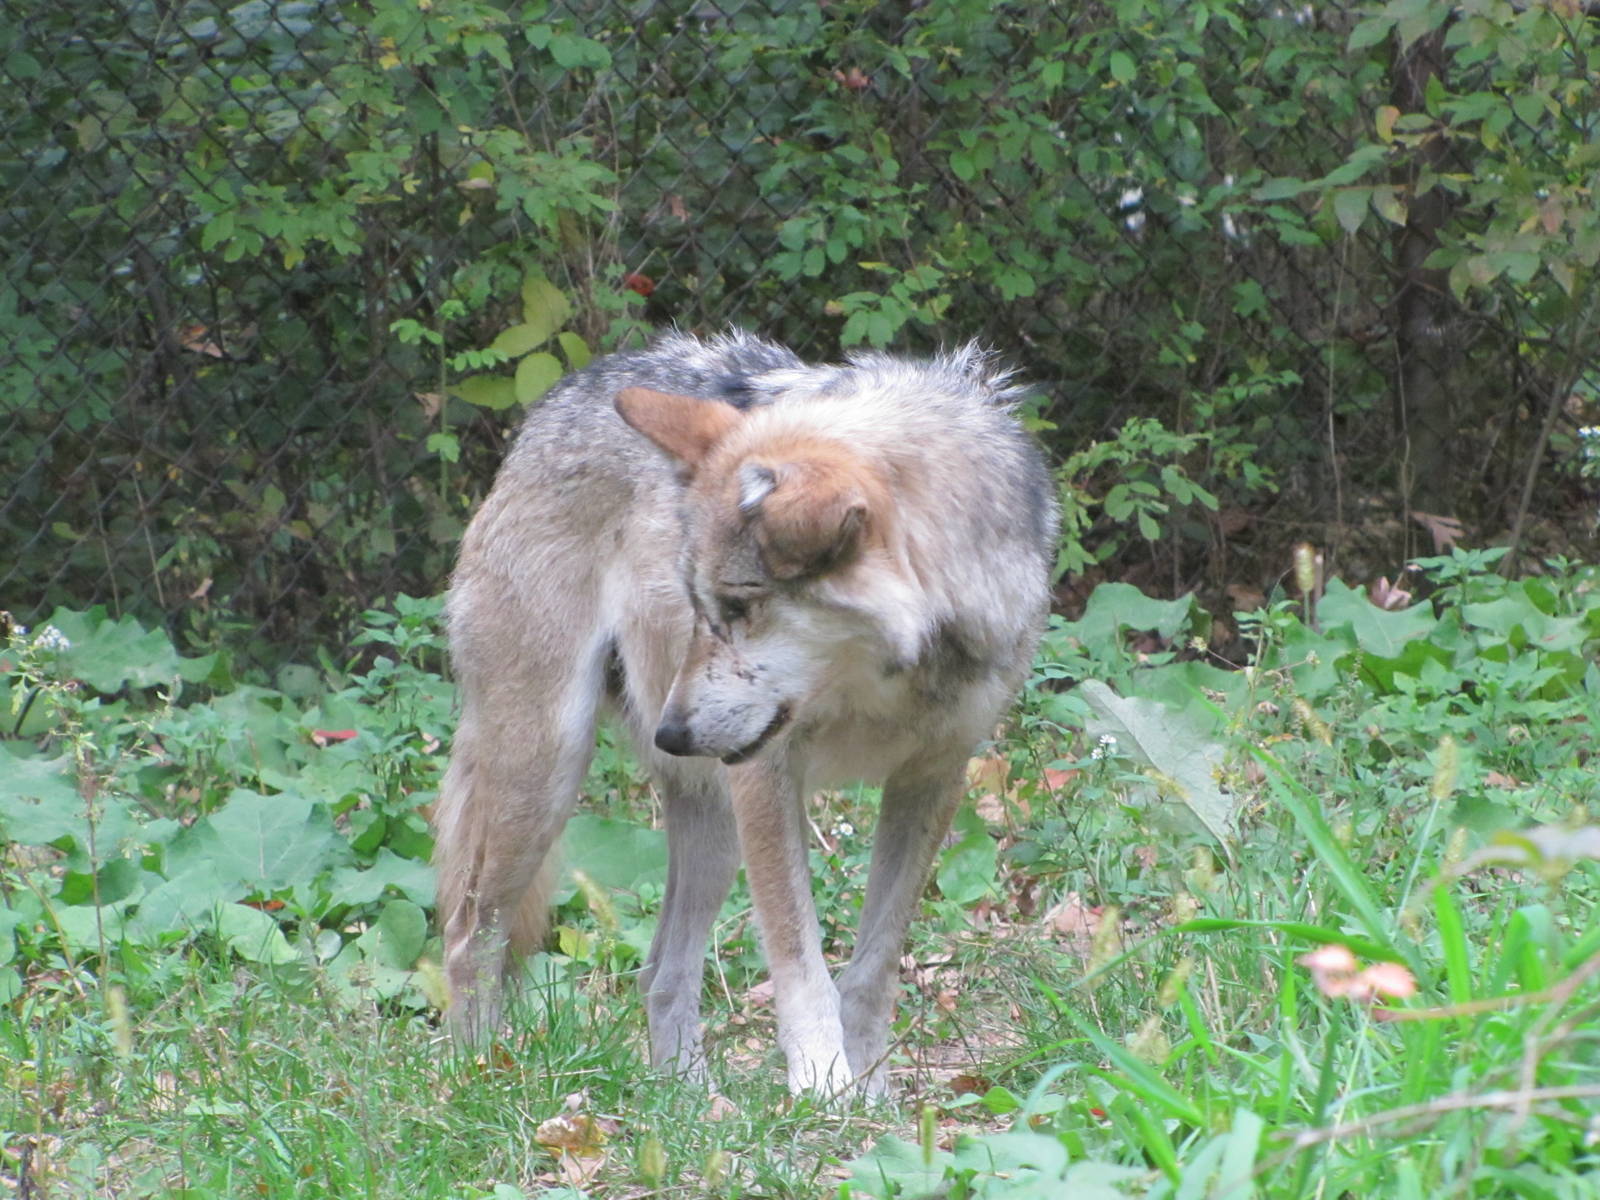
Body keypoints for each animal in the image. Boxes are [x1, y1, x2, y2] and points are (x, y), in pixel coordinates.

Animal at [433, 330, 1058, 1096]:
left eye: (736, 608)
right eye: (699, 606)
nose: (670, 732)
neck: (887, 678)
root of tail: (558, 401)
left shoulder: (934, 777)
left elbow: (874, 965)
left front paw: (871, 1088)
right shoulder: (767, 777)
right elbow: (800, 959)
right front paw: (824, 1091)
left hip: (712, 826)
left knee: (659, 969)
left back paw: (690, 1105)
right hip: (547, 775)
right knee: (469, 937)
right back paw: (478, 1077)